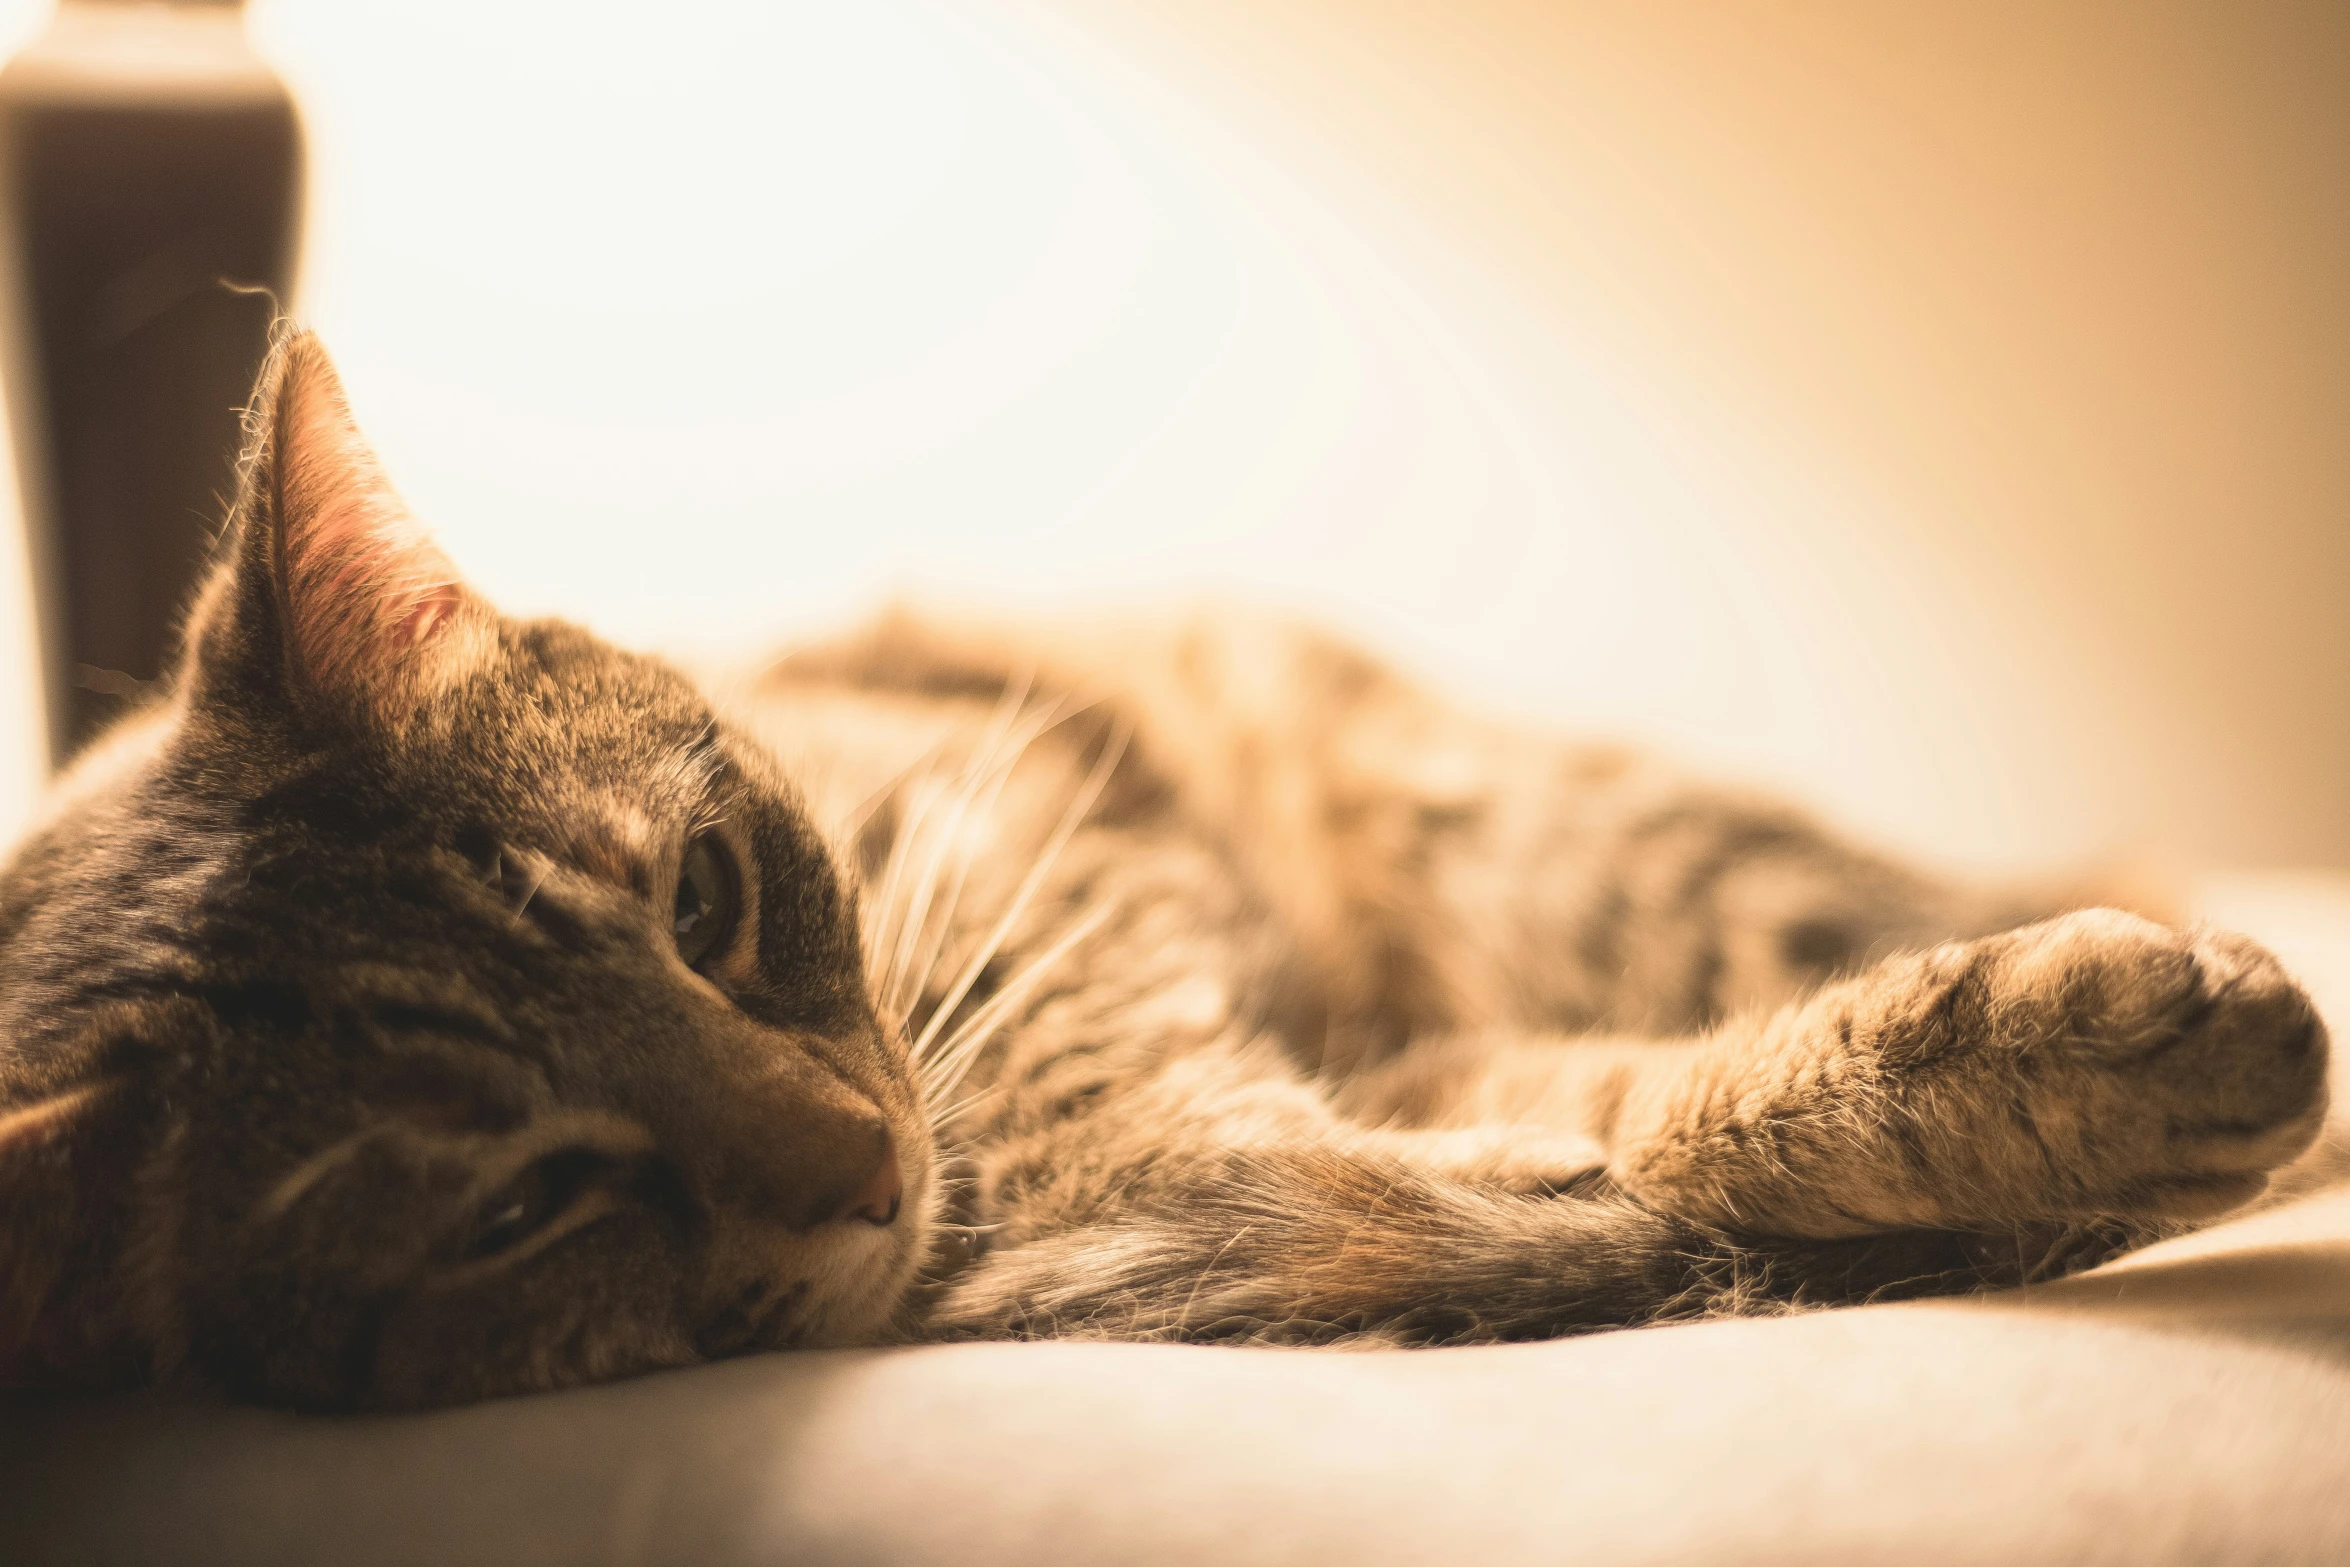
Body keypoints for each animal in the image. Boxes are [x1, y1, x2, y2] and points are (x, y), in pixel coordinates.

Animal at [0, 338, 2321, 1418]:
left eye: (705, 901)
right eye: (510, 1209)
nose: (867, 1163)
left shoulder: (1045, 854)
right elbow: (1569, 1144)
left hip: (1552, 828)